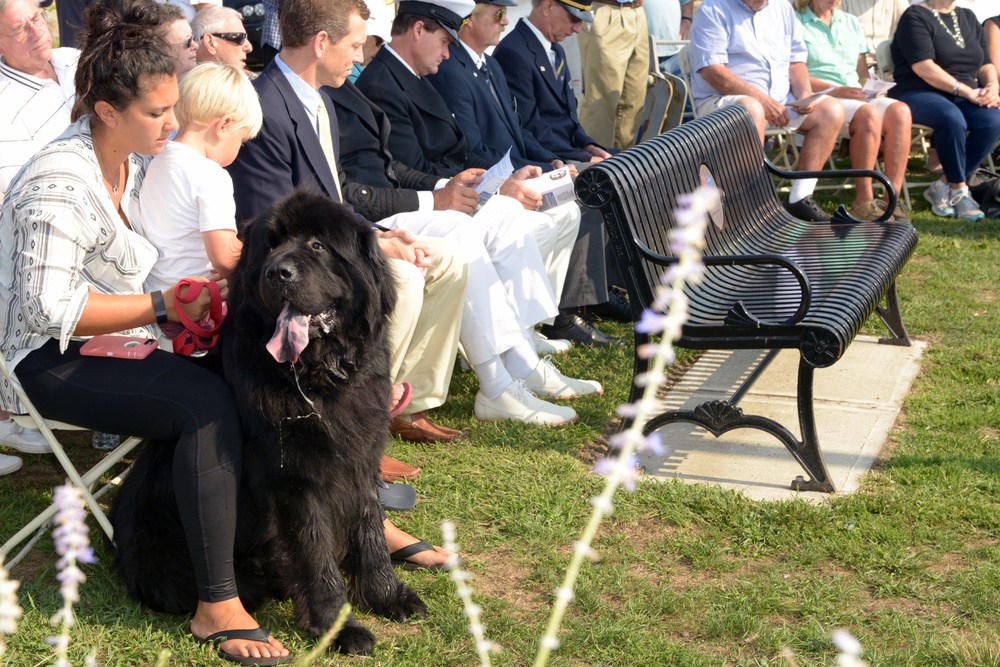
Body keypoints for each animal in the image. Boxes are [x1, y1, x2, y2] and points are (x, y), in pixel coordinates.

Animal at [108, 190, 426, 656]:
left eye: (318, 245)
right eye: (269, 248)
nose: (278, 273)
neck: (316, 379)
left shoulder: (359, 456)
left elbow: (370, 530)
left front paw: (388, 596)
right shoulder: (293, 478)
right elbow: (315, 555)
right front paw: (338, 626)